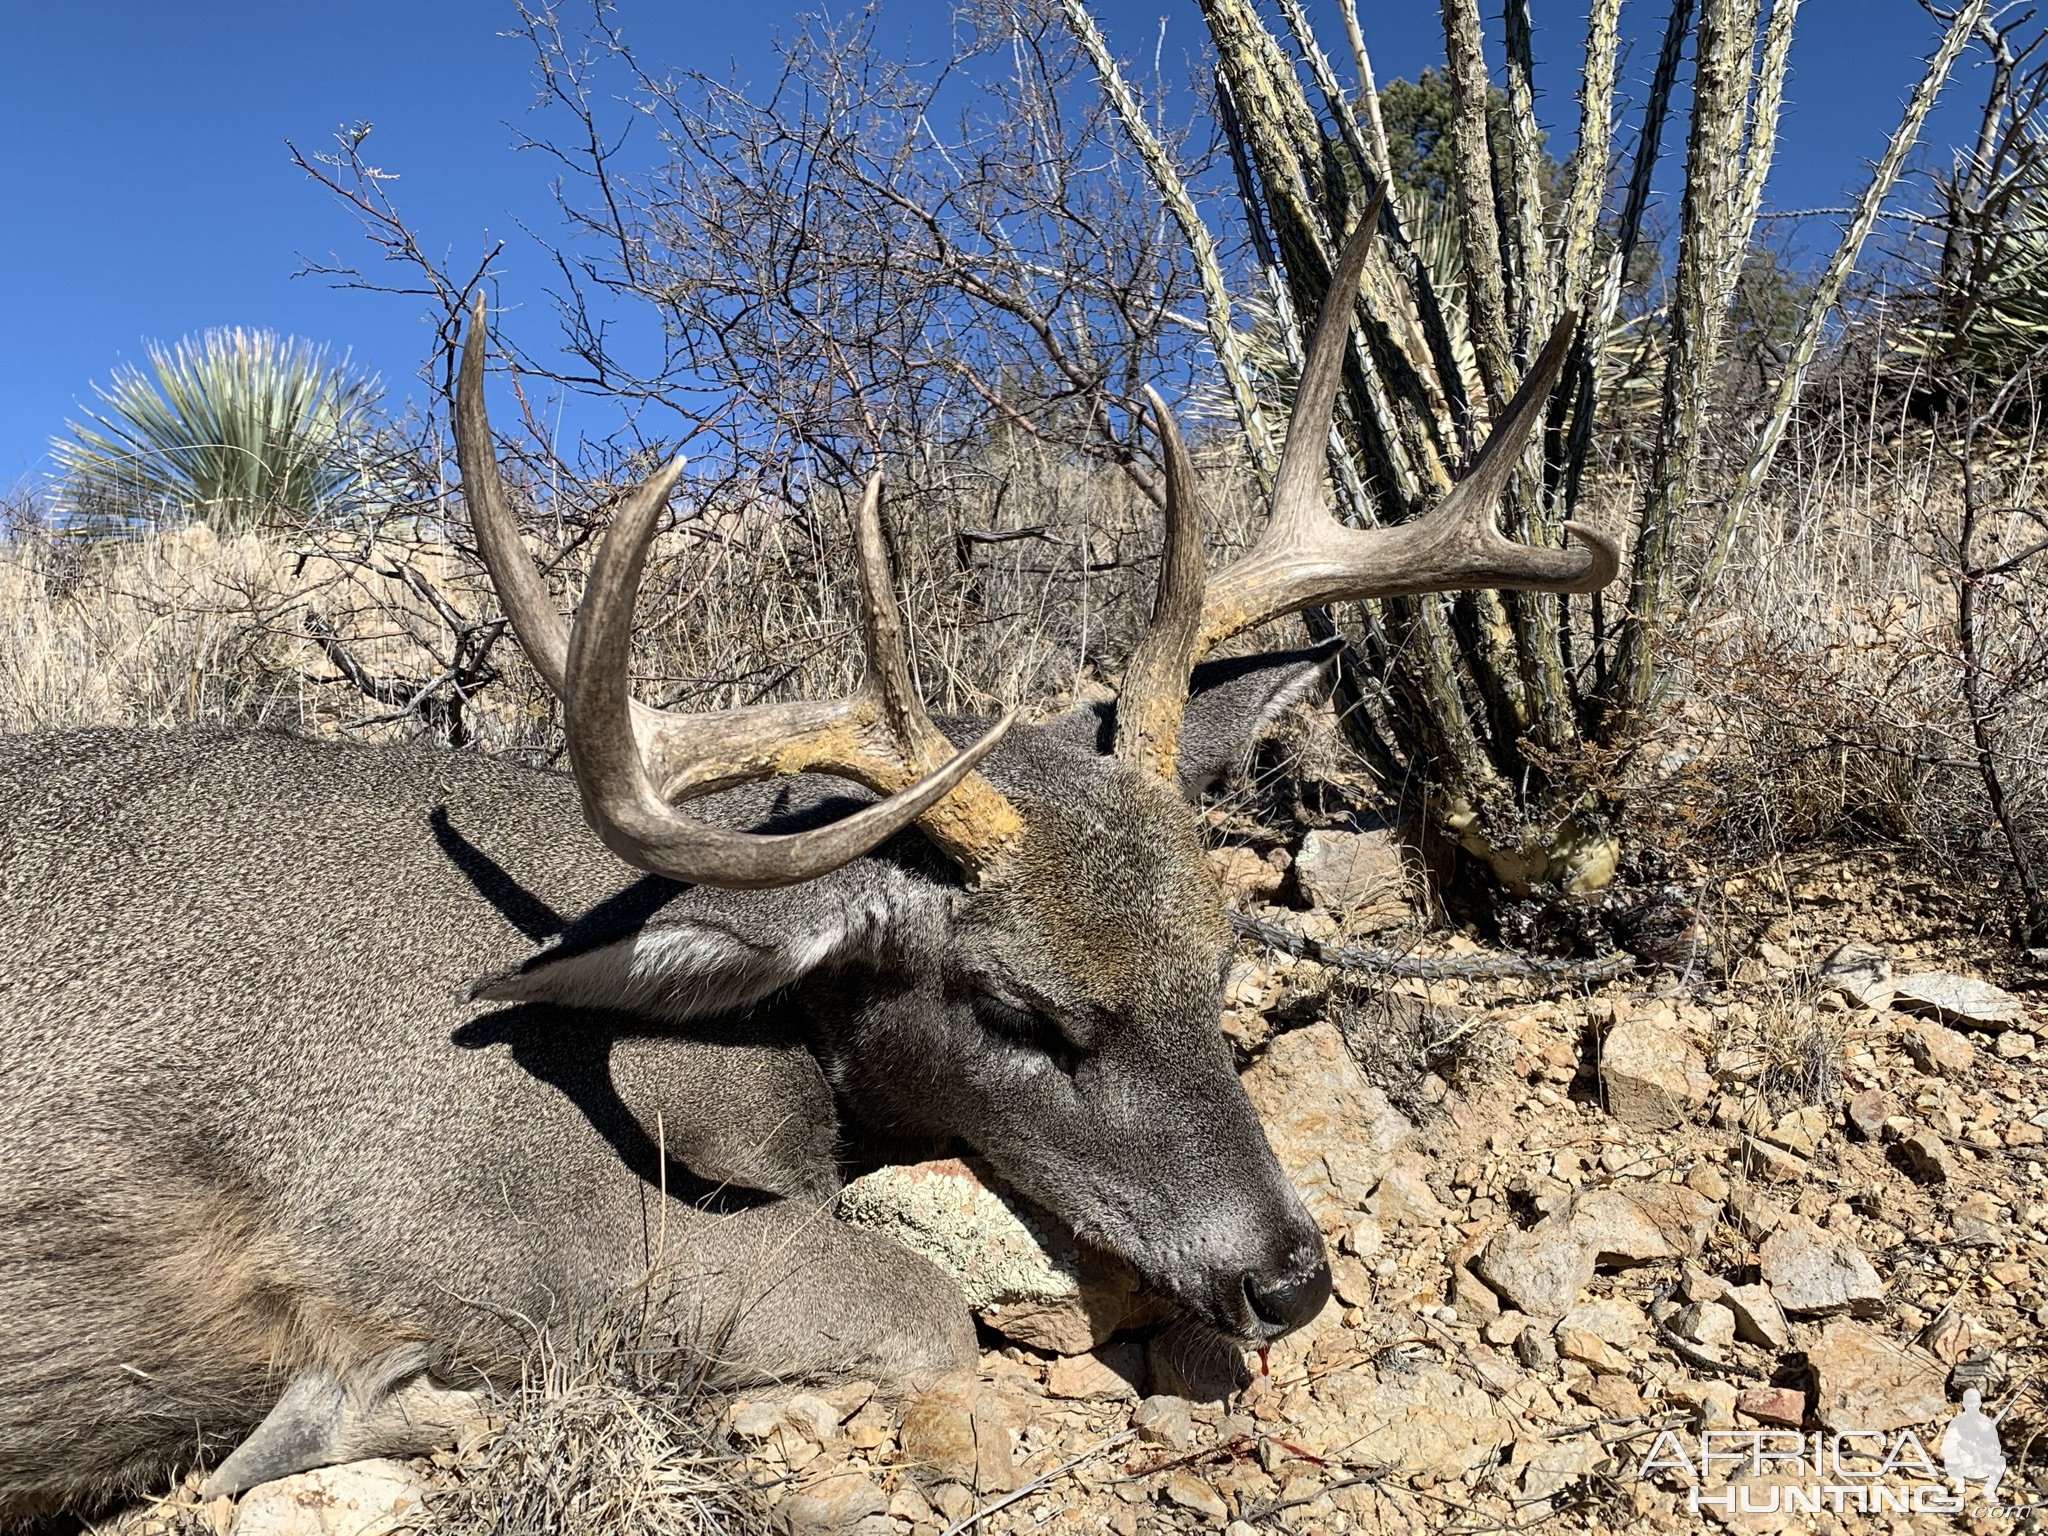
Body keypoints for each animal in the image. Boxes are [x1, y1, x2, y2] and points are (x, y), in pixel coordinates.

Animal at [0, 207, 1613, 1531]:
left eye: (1219, 964)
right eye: (1018, 1010)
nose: (1288, 1278)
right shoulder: (438, 1210)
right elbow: (926, 1304)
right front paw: (363, 1412)